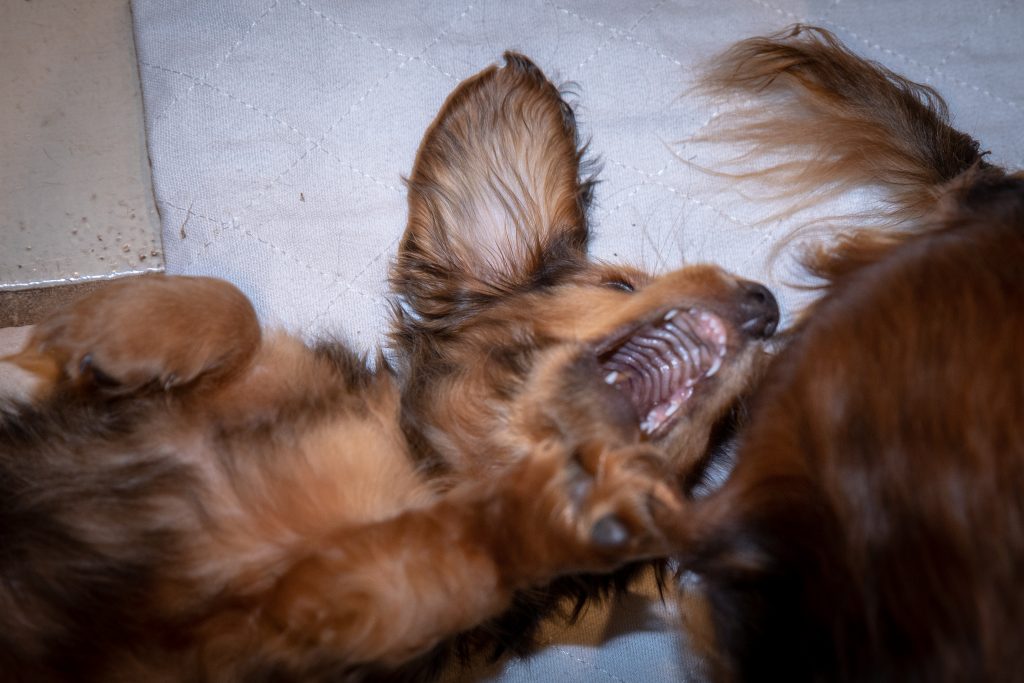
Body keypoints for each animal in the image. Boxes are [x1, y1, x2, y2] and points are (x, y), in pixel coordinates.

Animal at [0, 52, 778, 679]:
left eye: (724, 430)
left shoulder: (306, 622)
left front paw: (554, 515)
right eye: (620, 284)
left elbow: (455, 558)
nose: (768, 305)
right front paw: (112, 327)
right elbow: (237, 309)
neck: (426, 470)